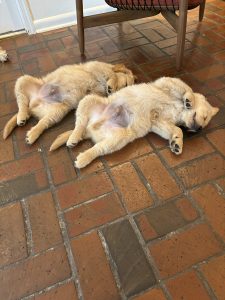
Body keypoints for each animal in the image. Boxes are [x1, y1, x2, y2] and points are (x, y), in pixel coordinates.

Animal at [2, 60, 134, 144]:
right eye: (126, 84)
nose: (119, 97)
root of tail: (34, 103)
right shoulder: (97, 67)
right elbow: (113, 74)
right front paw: (112, 84)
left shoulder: (95, 92)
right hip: (22, 80)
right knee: (22, 104)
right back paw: (21, 117)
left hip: (57, 113)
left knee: (42, 122)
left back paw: (32, 133)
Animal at [49, 77, 220, 169]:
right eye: (205, 118)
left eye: (204, 124)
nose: (198, 129)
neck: (179, 110)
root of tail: (91, 129)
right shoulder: (167, 82)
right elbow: (187, 88)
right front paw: (189, 99)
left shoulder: (158, 122)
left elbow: (176, 130)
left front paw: (177, 143)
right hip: (88, 99)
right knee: (79, 124)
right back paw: (74, 139)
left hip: (118, 138)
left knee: (97, 148)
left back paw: (84, 156)